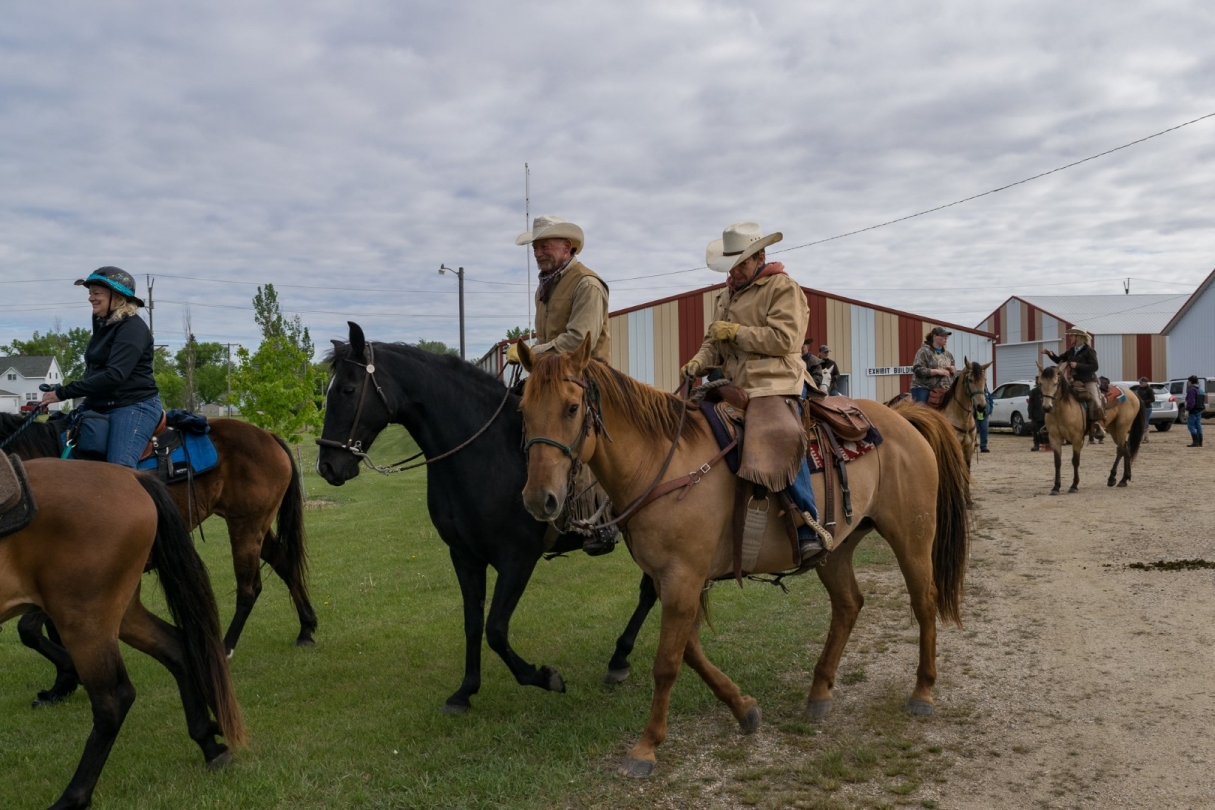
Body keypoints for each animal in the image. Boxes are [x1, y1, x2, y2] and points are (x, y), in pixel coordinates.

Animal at [0, 413, 315, 706]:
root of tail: (268, 435)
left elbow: (29, 629)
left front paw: (69, 676)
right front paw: (60, 687)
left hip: (245, 527)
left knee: (249, 589)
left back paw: (225, 649)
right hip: (256, 526)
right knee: (285, 564)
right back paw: (307, 629)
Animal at [0, 457, 245, 810]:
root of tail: (130, 476)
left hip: (85, 621)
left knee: (113, 700)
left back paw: (73, 796)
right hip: (122, 611)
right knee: (176, 649)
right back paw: (209, 746)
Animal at [315, 322, 657, 713]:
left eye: (348, 389)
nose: (327, 466)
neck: (483, 450)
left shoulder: (517, 558)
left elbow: (495, 629)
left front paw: (544, 677)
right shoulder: (464, 556)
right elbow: (473, 622)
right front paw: (466, 690)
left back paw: (620, 658)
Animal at [516, 336, 970, 778]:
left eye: (572, 408)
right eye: (523, 411)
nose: (540, 499)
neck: (663, 463)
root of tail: (903, 418)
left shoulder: (682, 578)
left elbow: (667, 662)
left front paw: (646, 747)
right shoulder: (674, 581)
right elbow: (690, 651)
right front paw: (744, 709)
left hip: (912, 535)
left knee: (924, 601)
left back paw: (922, 691)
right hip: (837, 548)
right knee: (848, 605)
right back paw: (819, 692)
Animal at [1036, 363, 1144, 494]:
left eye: (1055, 383)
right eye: (1040, 383)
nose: (1047, 407)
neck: (1063, 409)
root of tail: (1132, 393)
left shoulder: (1077, 438)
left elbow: (1075, 461)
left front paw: (1074, 485)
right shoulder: (1054, 438)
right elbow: (1057, 462)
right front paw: (1056, 487)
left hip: (1122, 426)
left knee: (1121, 449)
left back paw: (1112, 478)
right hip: (1114, 428)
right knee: (1126, 448)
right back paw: (1124, 479)